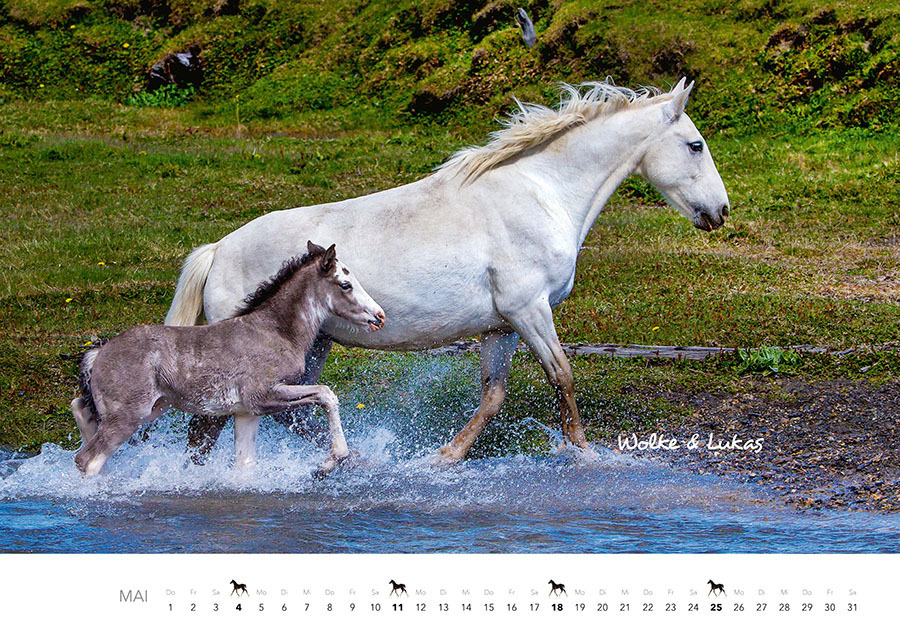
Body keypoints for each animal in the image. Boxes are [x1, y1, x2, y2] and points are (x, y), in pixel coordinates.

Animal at [165, 79, 728, 464]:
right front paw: (584, 455)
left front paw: (444, 457)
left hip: (313, 346)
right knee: (212, 426)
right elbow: (562, 377)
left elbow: (493, 396)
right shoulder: (530, 311)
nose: (720, 211)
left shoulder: (503, 326)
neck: (541, 193)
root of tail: (218, 249)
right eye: (695, 145)